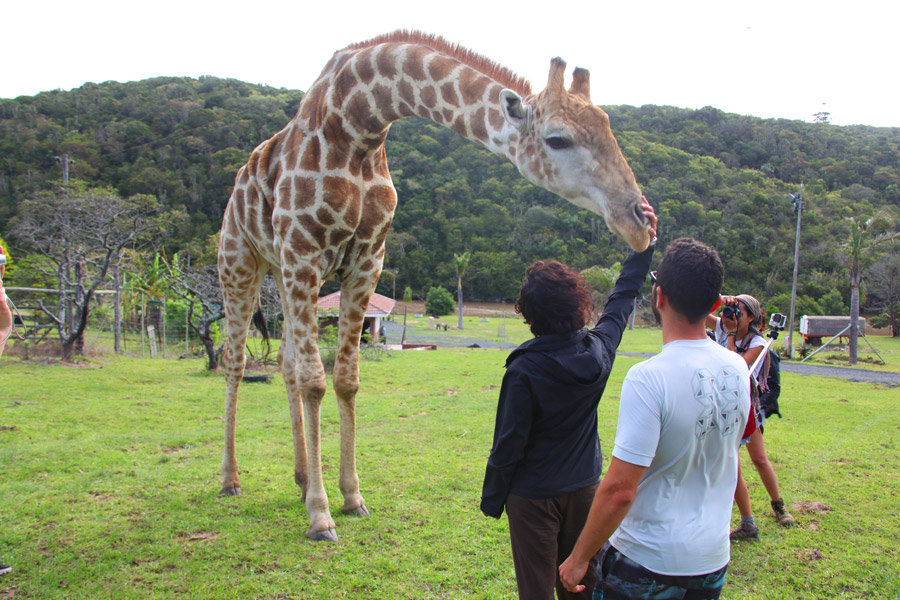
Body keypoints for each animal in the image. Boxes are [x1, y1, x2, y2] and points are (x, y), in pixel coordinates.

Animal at [218, 30, 652, 540]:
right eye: (557, 139)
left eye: (609, 129)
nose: (639, 220)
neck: (358, 123)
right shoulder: (305, 250)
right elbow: (315, 382)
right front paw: (320, 516)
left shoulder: (367, 259)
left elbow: (346, 379)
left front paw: (351, 497)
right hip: (243, 263)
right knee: (234, 362)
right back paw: (231, 480)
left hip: (282, 271)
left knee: (284, 362)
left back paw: (302, 478)